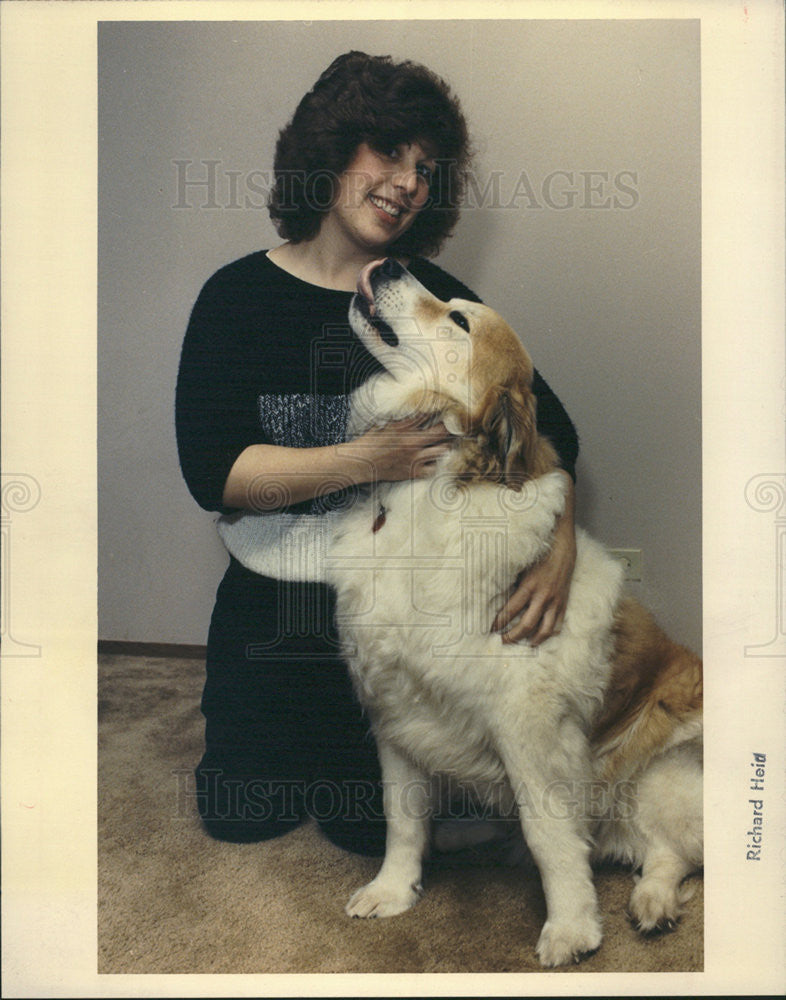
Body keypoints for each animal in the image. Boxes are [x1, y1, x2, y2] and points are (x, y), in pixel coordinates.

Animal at [219, 260, 700, 968]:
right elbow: (402, 817)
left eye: (458, 318)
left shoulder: (529, 729)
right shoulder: (396, 713)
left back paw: (652, 901)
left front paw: (570, 927)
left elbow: (550, 836)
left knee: (671, 852)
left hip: (665, 773)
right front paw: (395, 889)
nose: (389, 263)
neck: (429, 490)